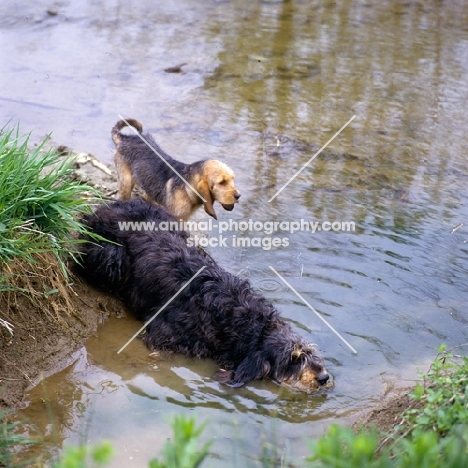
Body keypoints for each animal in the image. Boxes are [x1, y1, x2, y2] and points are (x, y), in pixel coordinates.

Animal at [78, 200, 330, 392]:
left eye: (309, 352)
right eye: (293, 359)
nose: (324, 377)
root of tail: (106, 206)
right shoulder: (163, 333)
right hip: (109, 255)